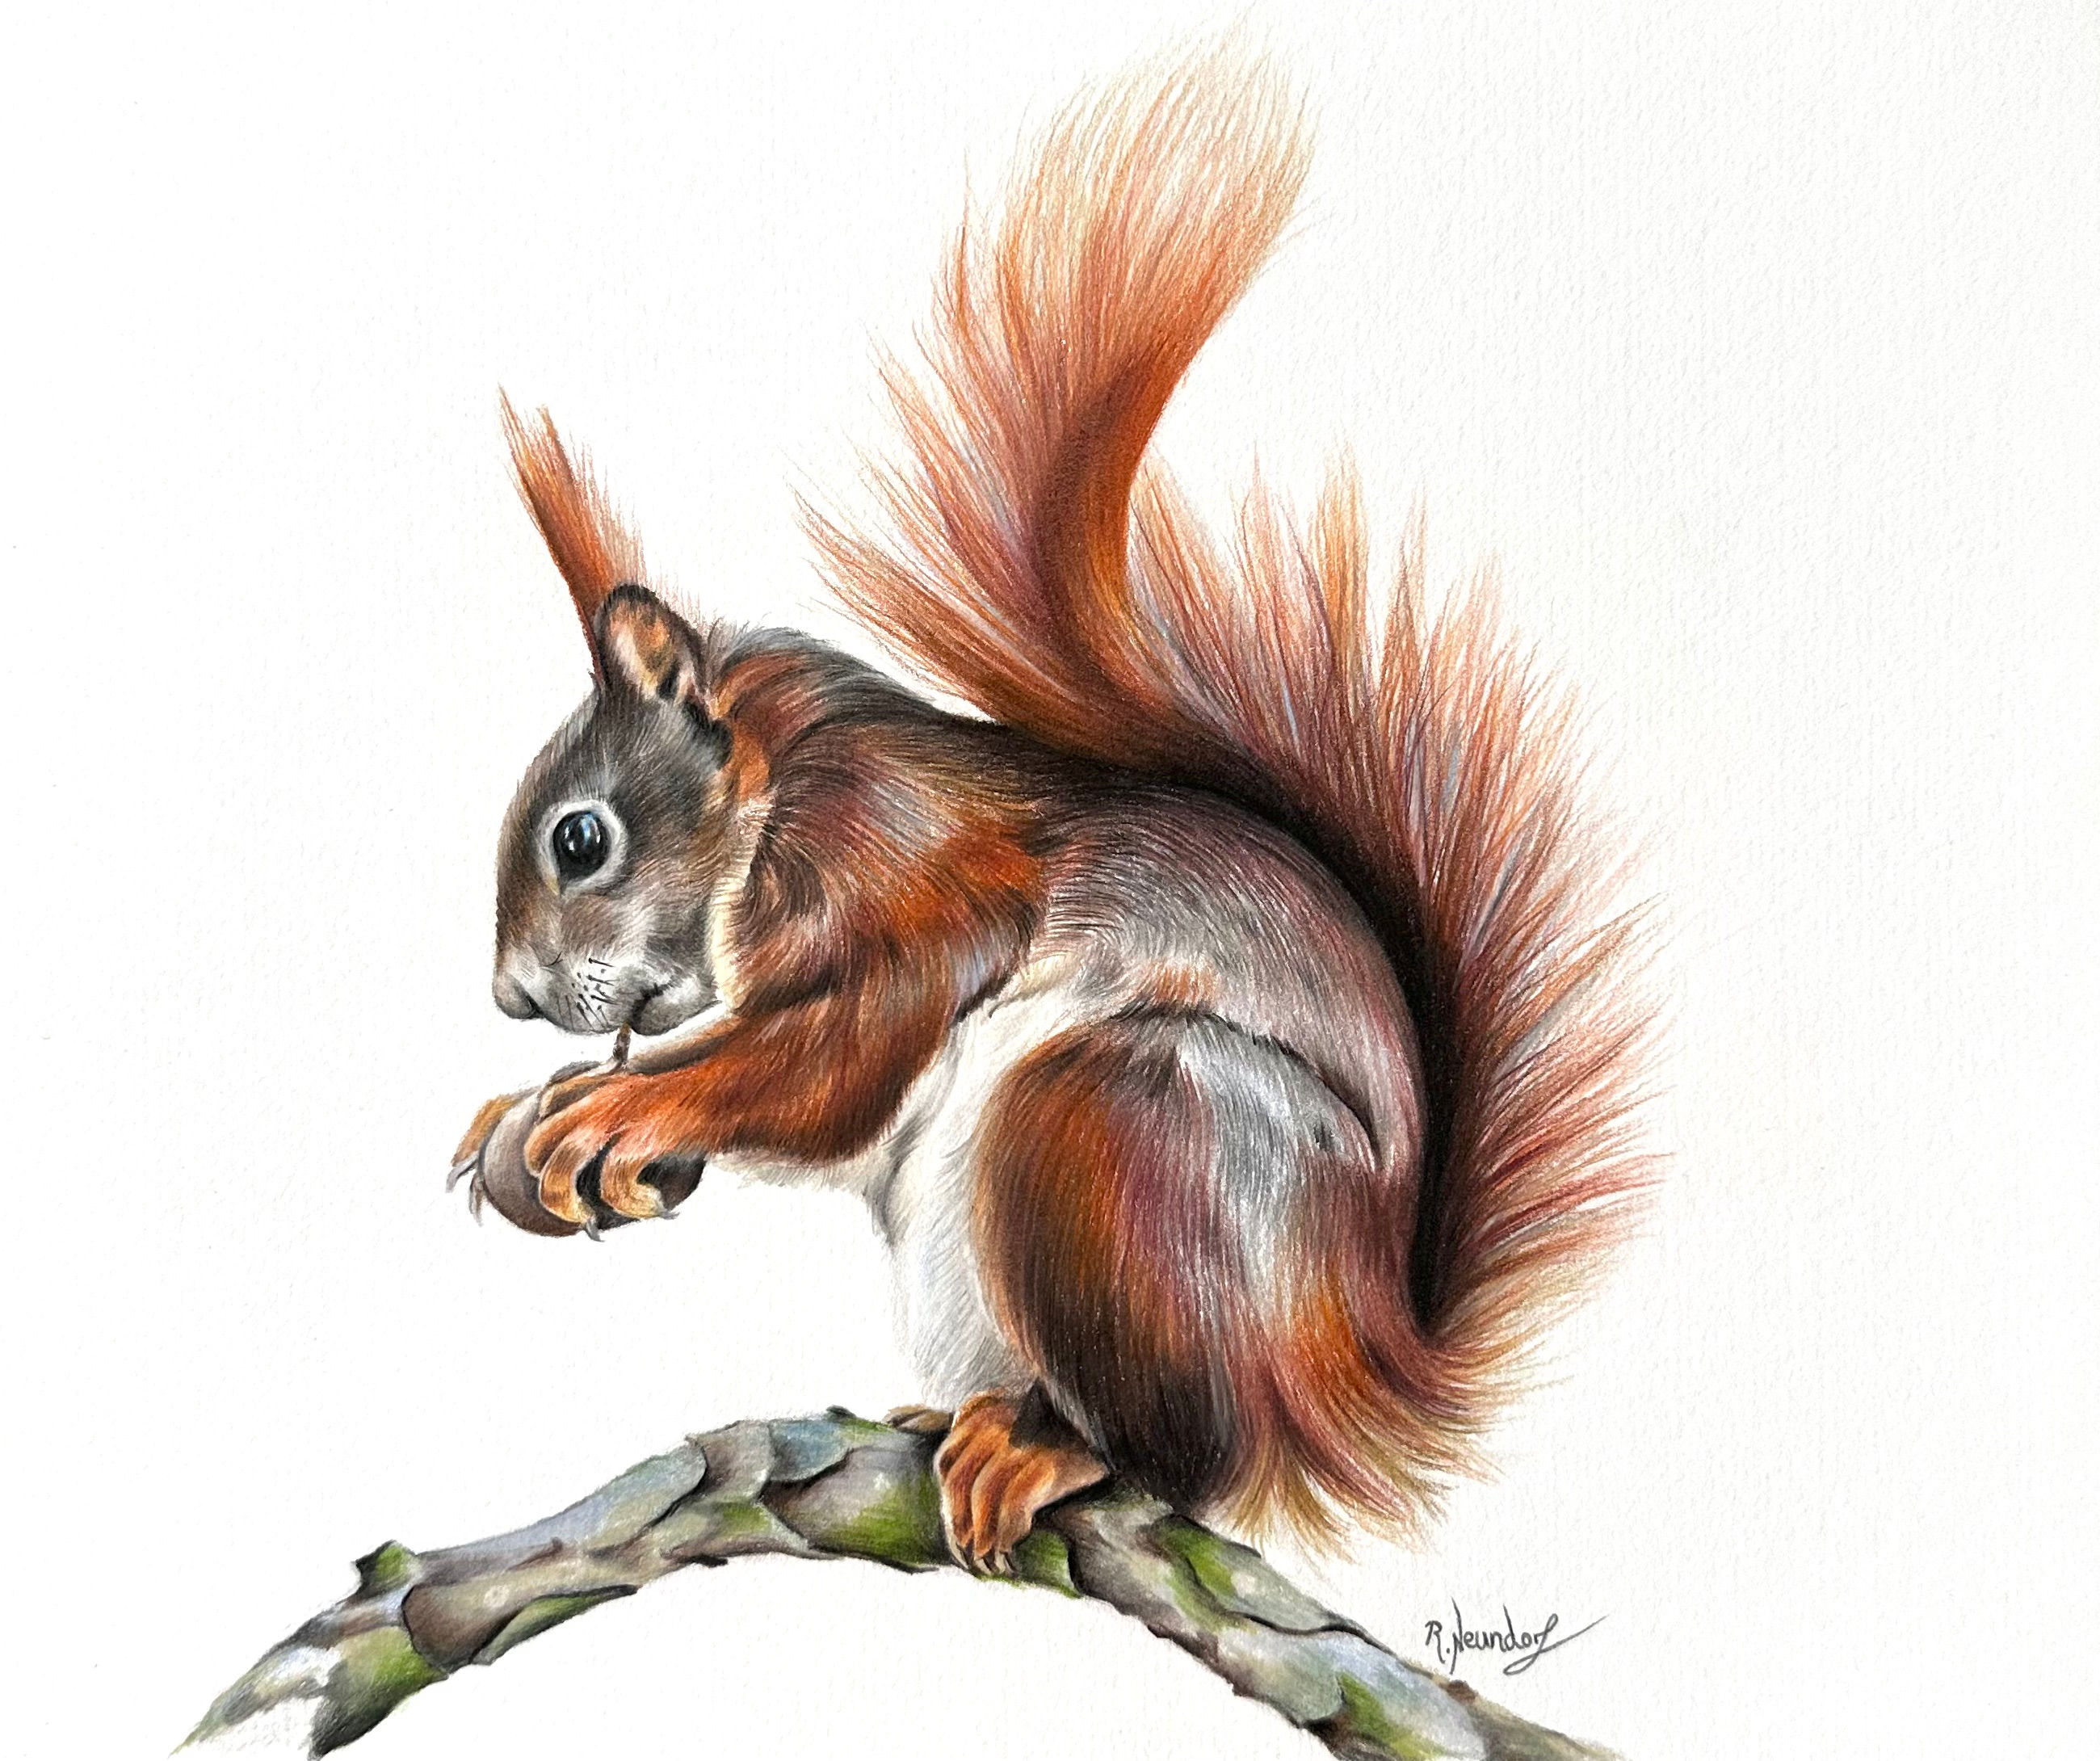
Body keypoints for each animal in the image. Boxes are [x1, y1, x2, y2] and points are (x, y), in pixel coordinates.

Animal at [450, 52, 1655, 1567]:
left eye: (580, 839)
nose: (511, 998)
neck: (775, 789)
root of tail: (1362, 1364)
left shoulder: (900, 872)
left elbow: (833, 1058)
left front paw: (619, 1111)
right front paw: (537, 1100)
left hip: (1128, 1121)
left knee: (1193, 1457)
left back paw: (1054, 1448)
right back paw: (975, 1420)